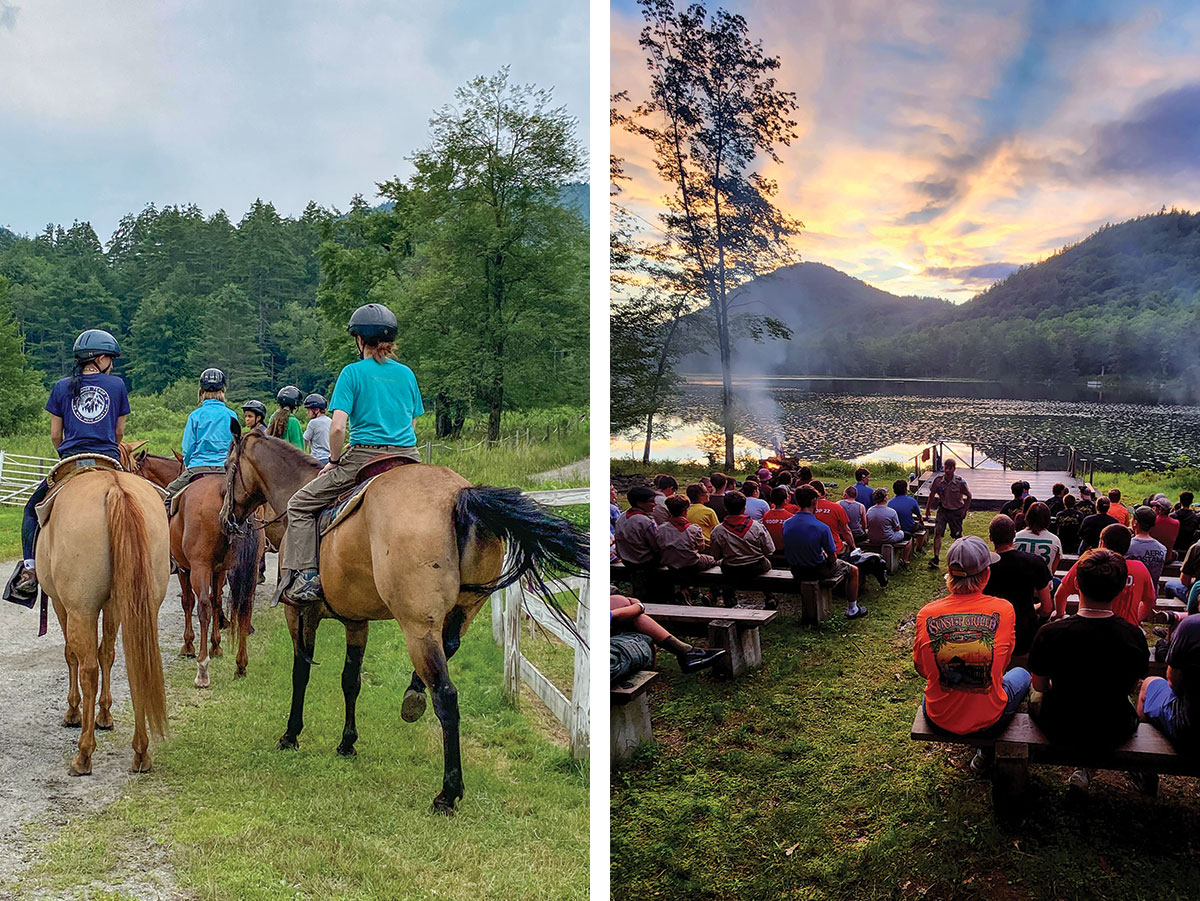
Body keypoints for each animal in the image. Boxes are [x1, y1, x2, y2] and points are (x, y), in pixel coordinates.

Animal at [37, 465, 170, 777]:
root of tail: (116, 489)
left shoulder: (63, 606)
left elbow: (72, 656)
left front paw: (73, 712)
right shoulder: (114, 607)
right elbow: (107, 654)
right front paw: (105, 714)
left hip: (81, 609)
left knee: (88, 671)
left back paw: (84, 755)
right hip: (142, 606)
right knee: (136, 665)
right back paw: (141, 751)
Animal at [169, 472, 260, 681]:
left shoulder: (185, 569)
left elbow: (189, 601)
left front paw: (188, 645)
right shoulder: (219, 570)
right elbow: (217, 600)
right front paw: (216, 645)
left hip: (199, 567)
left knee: (203, 606)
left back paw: (202, 669)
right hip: (251, 569)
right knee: (245, 607)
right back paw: (240, 665)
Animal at [219, 424, 590, 815]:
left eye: (228, 466)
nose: (226, 519)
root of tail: (459, 495)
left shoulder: (300, 612)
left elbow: (300, 673)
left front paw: (291, 734)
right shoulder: (357, 622)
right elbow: (350, 680)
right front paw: (347, 742)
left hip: (417, 626)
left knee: (446, 695)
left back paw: (447, 792)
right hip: (461, 611)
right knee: (449, 646)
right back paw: (414, 693)